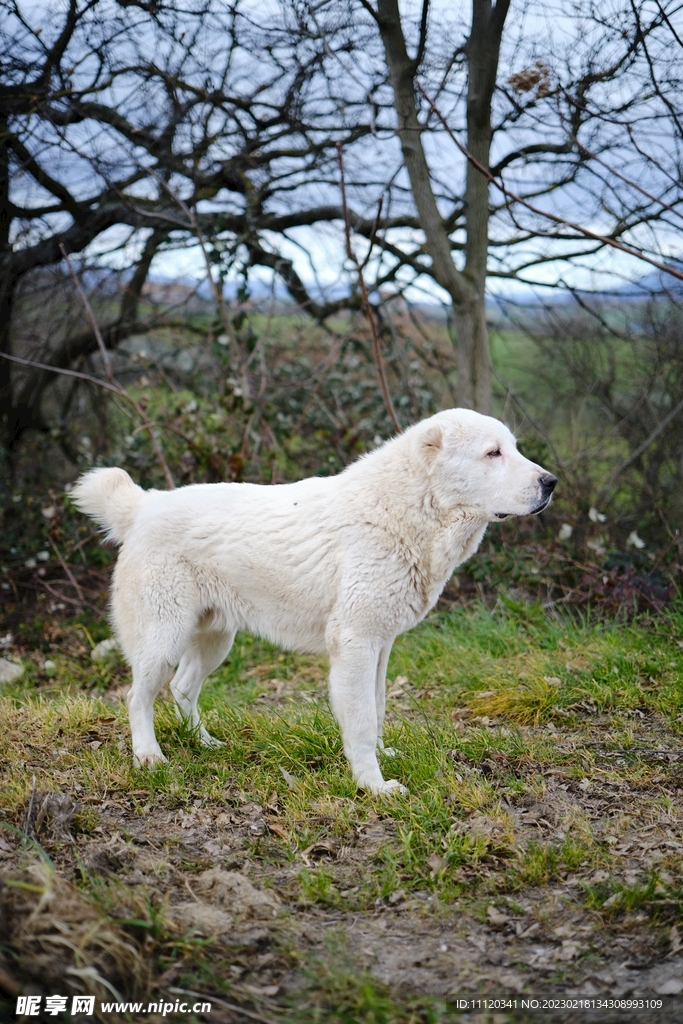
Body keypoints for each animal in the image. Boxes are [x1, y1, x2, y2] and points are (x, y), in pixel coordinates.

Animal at [73, 407, 557, 790]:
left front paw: (383, 760)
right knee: (137, 696)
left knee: (182, 688)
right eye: (493, 453)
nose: (551, 482)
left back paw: (204, 743)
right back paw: (149, 757)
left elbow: (378, 708)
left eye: (513, 448)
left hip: (215, 639)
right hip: (164, 636)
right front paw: (373, 786)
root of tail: (143, 506)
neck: (405, 510)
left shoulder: (381, 645)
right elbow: (361, 721)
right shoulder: (356, 643)